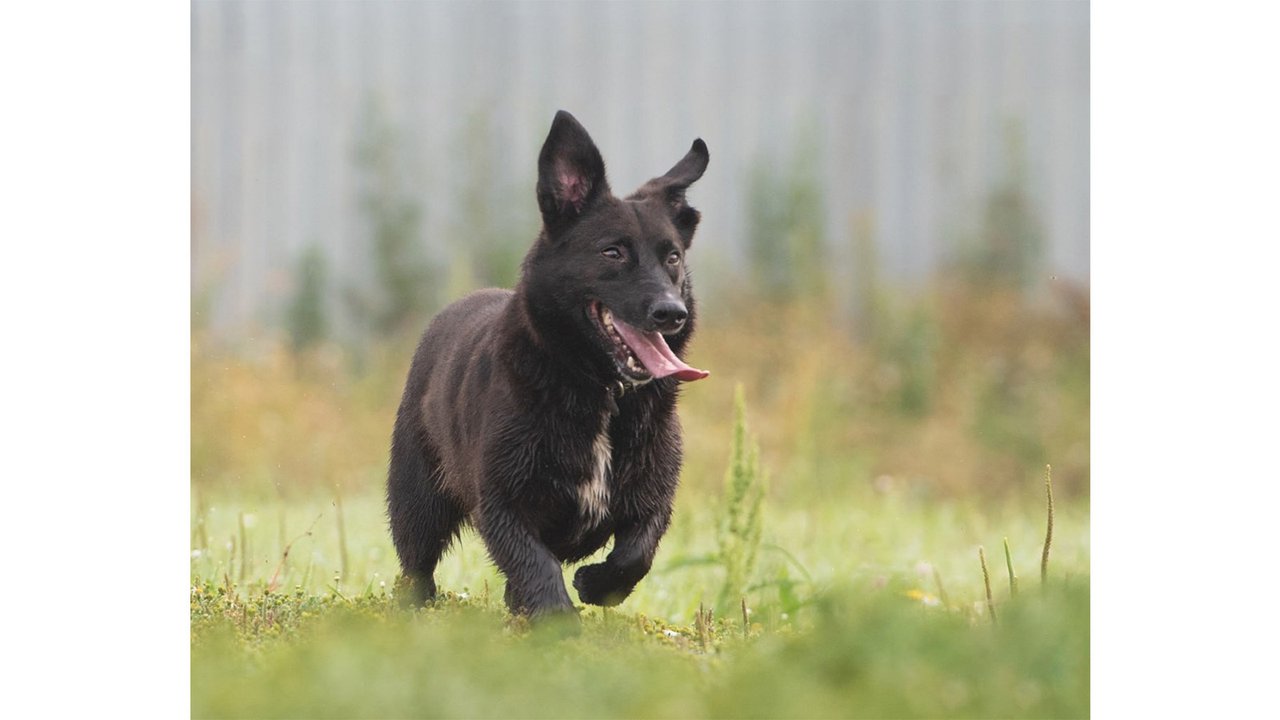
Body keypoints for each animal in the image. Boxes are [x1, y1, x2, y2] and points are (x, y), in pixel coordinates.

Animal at [386, 109, 711, 614]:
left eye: (672, 257)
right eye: (612, 251)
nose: (671, 312)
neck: (601, 391)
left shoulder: (653, 493)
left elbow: (637, 552)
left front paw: (595, 584)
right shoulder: (503, 501)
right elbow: (535, 565)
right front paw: (556, 617)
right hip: (418, 498)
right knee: (416, 563)